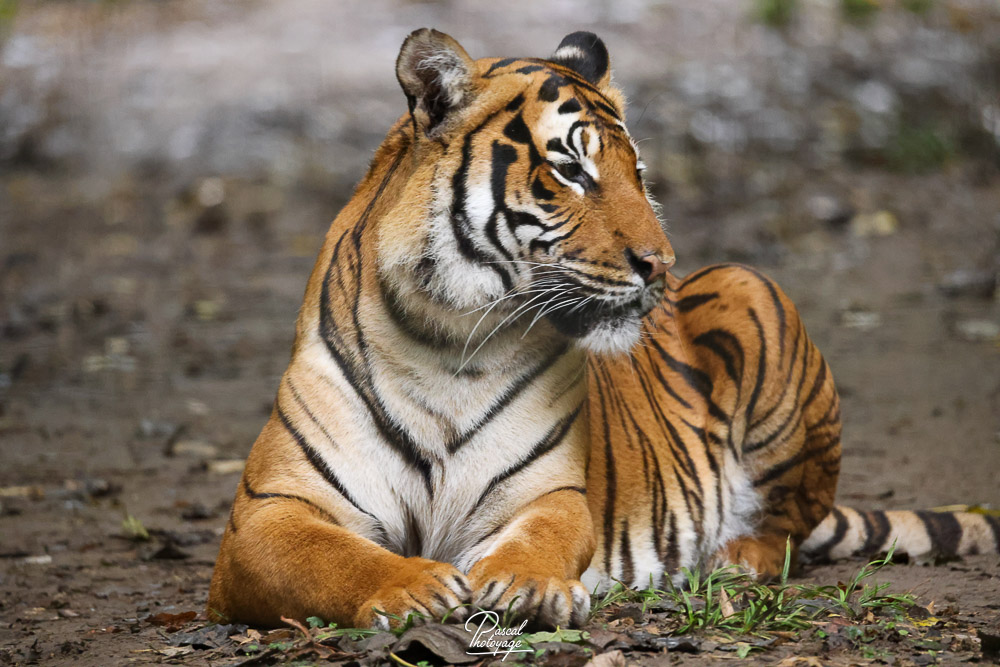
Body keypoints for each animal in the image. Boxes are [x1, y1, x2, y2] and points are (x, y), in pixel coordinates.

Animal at [207, 29, 1000, 630]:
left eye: (638, 173)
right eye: (572, 171)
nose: (662, 264)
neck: (448, 343)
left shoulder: (551, 491)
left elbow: (546, 537)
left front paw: (528, 586)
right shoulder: (265, 517)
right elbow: (332, 557)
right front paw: (414, 586)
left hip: (752, 290)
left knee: (790, 528)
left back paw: (730, 560)